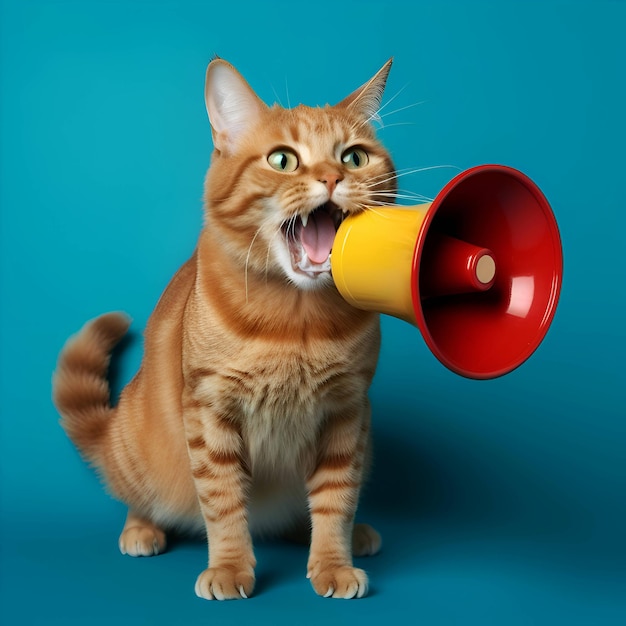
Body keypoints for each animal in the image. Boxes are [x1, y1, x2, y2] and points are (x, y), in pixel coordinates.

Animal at [53, 58, 394, 600]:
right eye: (283, 160)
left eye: (354, 157)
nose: (332, 177)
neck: (295, 321)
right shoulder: (211, 409)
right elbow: (224, 501)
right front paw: (231, 568)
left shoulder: (347, 411)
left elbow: (336, 500)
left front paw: (333, 563)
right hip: (137, 445)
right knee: (136, 494)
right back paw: (141, 530)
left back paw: (347, 535)